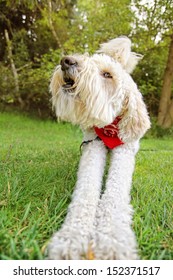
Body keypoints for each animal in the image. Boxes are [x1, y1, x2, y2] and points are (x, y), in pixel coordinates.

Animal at [47, 36, 150, 260]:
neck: (109, 127)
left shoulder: (124, 154)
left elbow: (115, 196)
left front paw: (112, 240)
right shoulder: (93, 147)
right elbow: (86, 192)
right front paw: (71, 237)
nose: (66, 61)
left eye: (107, 75)